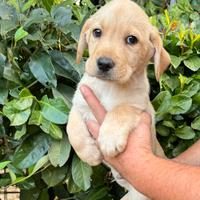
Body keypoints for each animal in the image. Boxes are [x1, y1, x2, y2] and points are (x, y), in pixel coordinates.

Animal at [67, 0, 170, 199]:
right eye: (97, 32)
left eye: (131, 39)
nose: (104, 63)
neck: (108, 87)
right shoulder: (80, 102)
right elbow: (72, 128)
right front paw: (89, 153)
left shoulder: (138, 106)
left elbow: (120, 110)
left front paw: (109, 139)